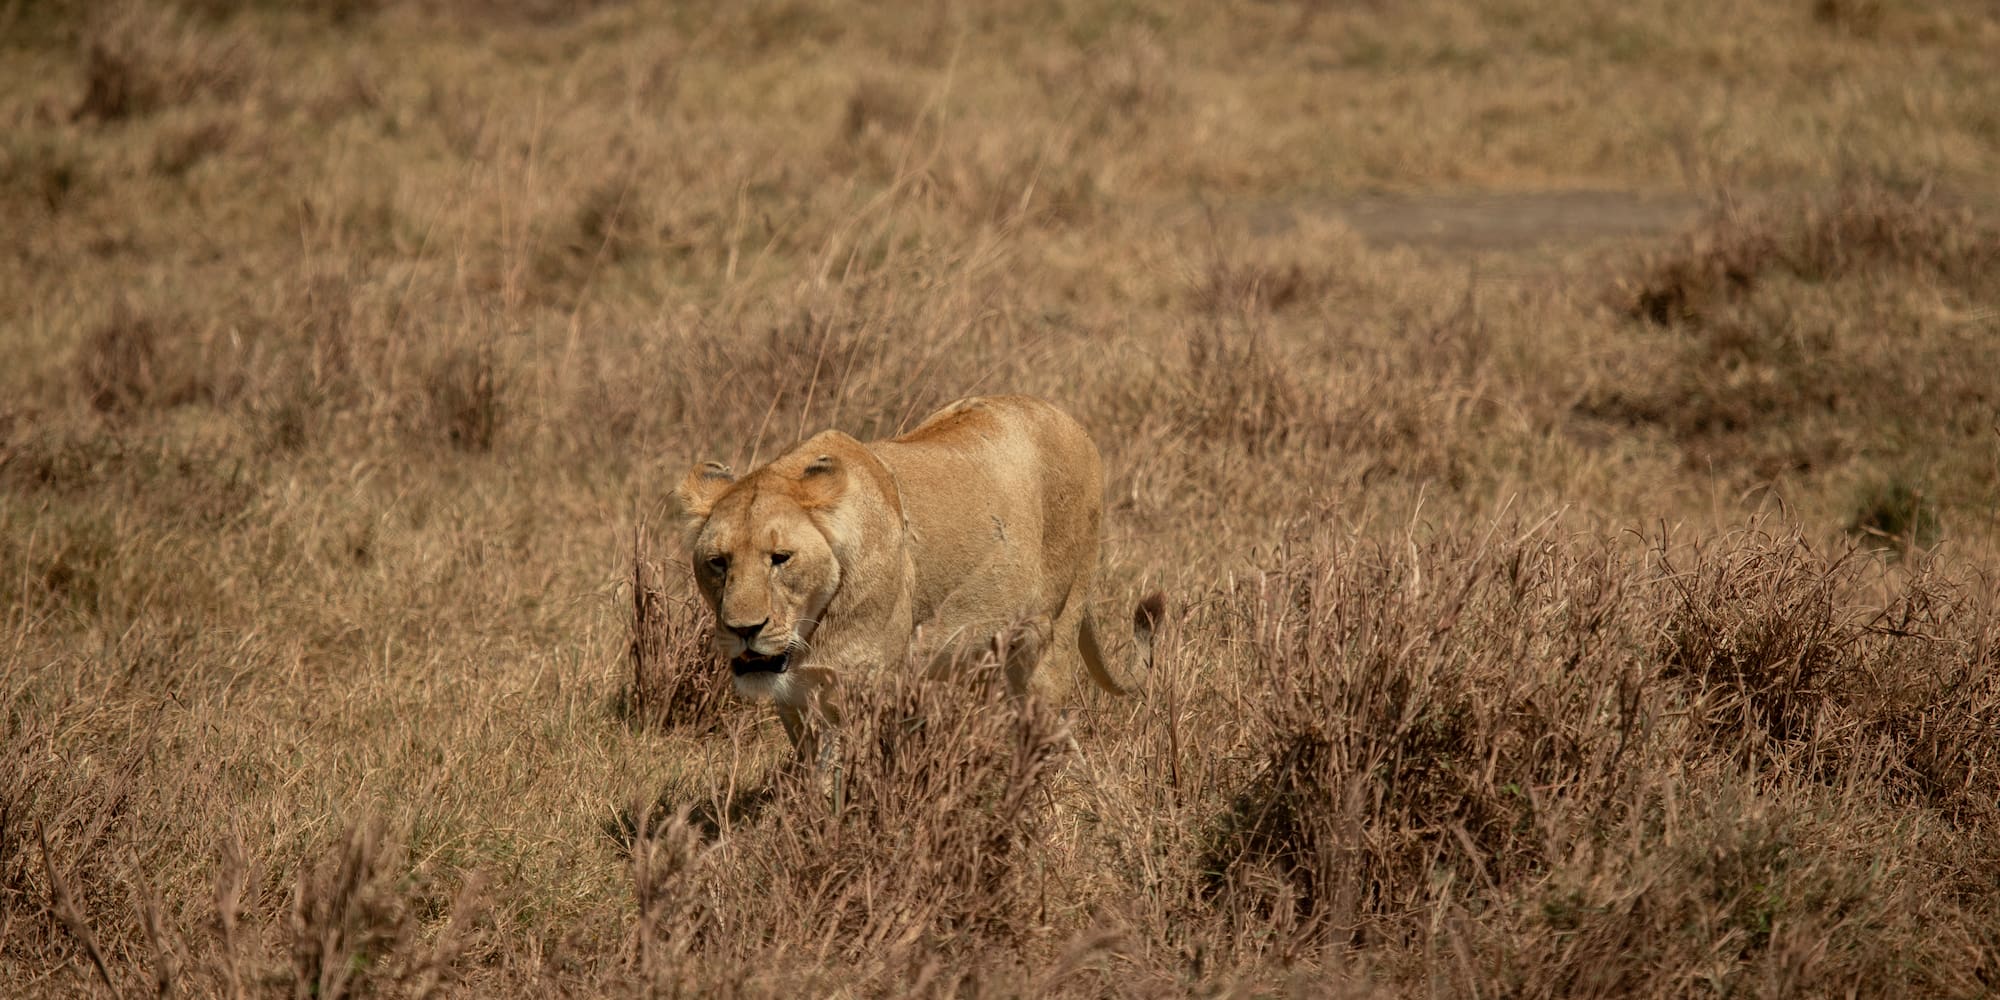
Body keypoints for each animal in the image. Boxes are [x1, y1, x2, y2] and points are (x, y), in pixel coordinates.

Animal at [665, 394, 1162, 761]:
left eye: (781, 558)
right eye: (719, 562)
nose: (743, 629)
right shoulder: (794, 699)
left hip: (1050, 632)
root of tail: (1072, 422)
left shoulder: (863, 688)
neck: (810, 631)